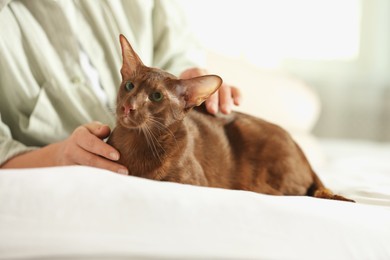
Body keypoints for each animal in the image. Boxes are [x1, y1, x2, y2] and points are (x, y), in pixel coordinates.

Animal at [106, 33, 354, 202]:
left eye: (156, 96)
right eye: (129, 86)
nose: (128, 106)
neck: (135, 144)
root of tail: (305, 156)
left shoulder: (190, 182)